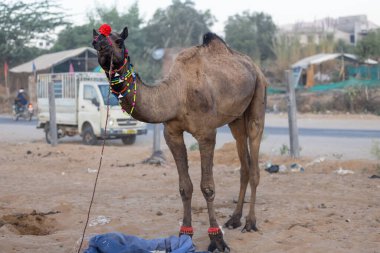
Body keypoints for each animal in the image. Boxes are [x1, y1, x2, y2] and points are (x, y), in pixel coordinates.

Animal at [92, 24, 268, 252]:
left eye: (119, 41)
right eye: (94, 42)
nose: (102, 46)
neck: (177, 94)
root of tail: (253, 65)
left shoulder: (206, 133)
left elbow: (207, 187)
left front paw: (217, 239)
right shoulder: (172, 133)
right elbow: (185, 187)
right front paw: (185, 235)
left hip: (259, 95)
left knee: (254, 162)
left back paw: (250, 223)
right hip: (236, 118)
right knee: (244, 164)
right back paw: (234, 219)